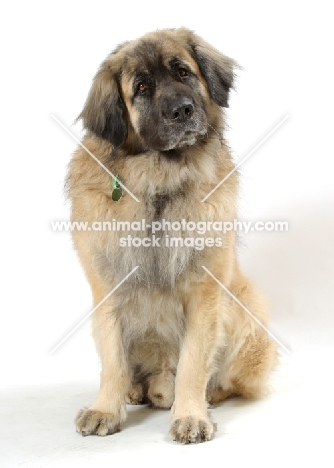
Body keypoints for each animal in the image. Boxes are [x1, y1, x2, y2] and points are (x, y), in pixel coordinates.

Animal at [67, 27, 276, 444]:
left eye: (183, 72)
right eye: (141, 88)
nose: (182, 111)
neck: (158, 185)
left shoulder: (205, 292)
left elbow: (195, 361)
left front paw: (191, 415)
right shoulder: (108, 287)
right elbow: (113, 359)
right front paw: (105, 409)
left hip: (245, 317)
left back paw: (197, 396)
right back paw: (137, 390)